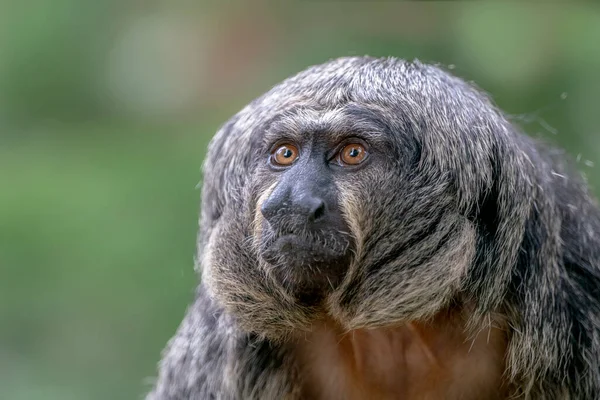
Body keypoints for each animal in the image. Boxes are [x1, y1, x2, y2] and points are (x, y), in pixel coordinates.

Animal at [145, 57, 600, 400]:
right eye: (284, 154)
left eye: (352, 153)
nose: (289, 204)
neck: (400, 330)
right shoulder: (221, 346)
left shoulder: (573, 301)